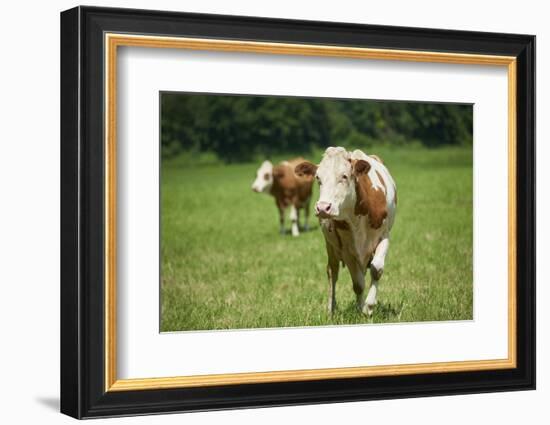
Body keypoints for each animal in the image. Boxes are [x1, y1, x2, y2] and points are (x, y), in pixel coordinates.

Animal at [296, 147, 398, 314]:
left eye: (344, 176)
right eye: (318, 178)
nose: (323, 208)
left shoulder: (384, 236)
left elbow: (376, 269)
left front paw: (369, 306)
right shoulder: (346, 249)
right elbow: (358, 284)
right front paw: (362, 308)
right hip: (331, 246)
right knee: (333, 272)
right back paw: (331, 309)